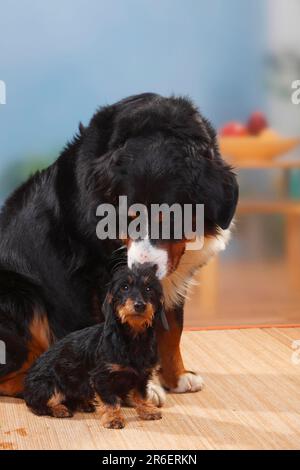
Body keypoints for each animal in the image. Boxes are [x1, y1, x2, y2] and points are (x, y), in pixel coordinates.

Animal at [0, 92, 239, 404]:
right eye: (128, 217)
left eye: (171, 219)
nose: (142, 268)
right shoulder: (96, 276)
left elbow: (172, 329)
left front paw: (176, 377)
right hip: (21, 296)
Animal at [24, 266, 166, 428]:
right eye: (124, 287)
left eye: (149, 289)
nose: (139, 305)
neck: (133, 339)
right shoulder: (101, 377)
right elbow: (110, 400)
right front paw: (113, 418)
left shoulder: (142, 375)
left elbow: (141, 395)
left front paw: (147, 410)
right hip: (49, 385)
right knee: (38, 405)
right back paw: (59, 409)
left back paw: (83, 404)